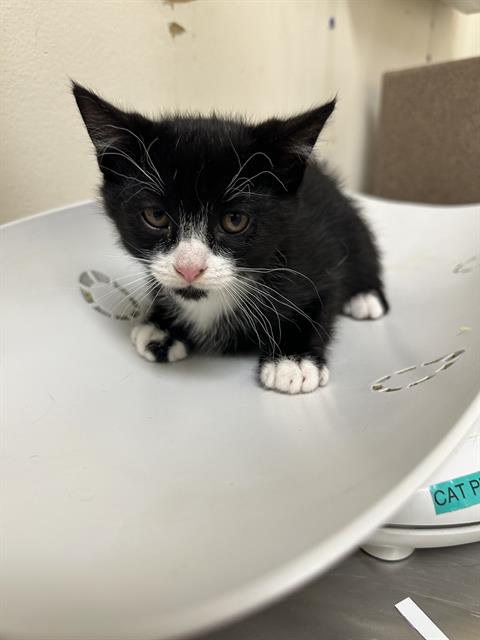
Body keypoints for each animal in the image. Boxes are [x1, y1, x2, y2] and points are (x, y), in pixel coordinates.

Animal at [73, 84, 388, 396]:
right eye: (156, 215)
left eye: (235, 220)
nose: (189, 268)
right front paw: (162, 327)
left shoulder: (314, 248)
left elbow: (324, 297)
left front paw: (293, 361)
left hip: (347, 221)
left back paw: (365, 297)